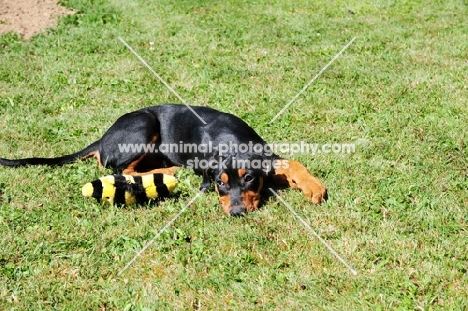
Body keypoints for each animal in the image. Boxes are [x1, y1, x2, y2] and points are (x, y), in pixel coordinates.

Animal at [0, 103, 328, 216]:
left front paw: (314, 187)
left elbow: (291, 162)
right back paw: (167, 168)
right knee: (118, 167)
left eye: (249, 178)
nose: (236, 213)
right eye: (220, 184)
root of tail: (103, 138)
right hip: (145, 124)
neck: (230, 140)